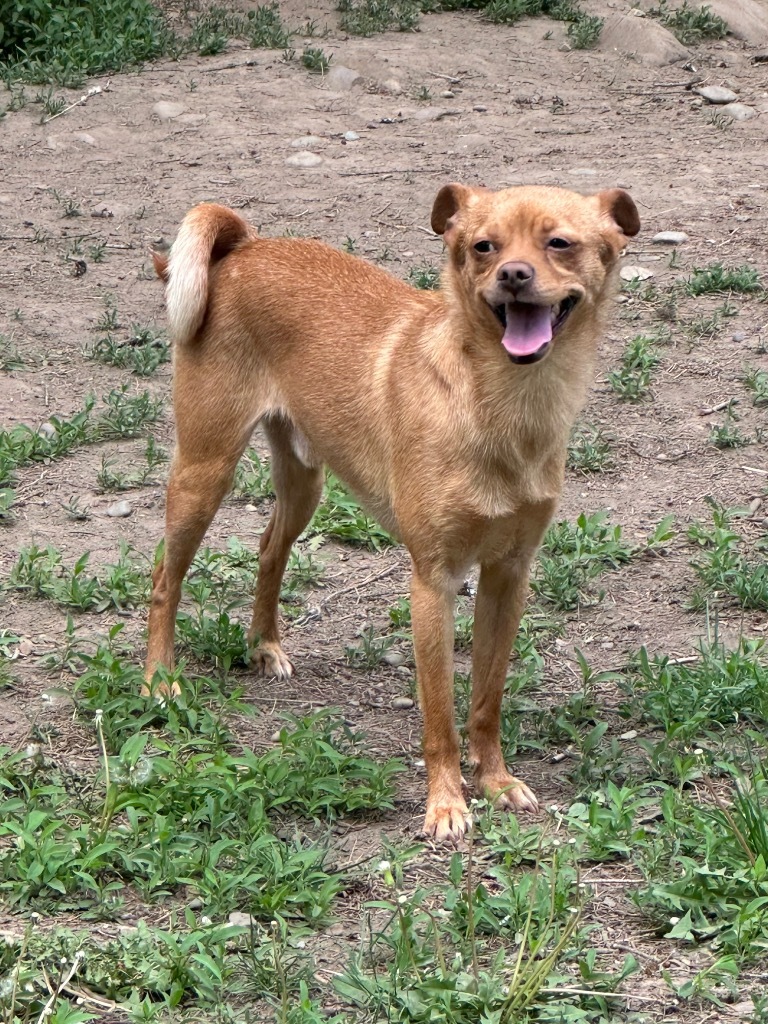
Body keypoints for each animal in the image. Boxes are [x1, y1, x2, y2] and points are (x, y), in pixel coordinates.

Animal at [147, 182, 638, 839]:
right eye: (483, 247)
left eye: (559, 242)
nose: (513, 274)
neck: (504, 402)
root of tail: (243, 249)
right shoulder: (433, 583)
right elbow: (441, 715)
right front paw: (446, 803)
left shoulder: (507, 577)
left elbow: (485, 701)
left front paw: (495, 780)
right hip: (205, 471)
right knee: (164, 577)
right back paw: (158, 679)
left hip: (304, 482)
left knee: (270, 548)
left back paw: (264, 645)